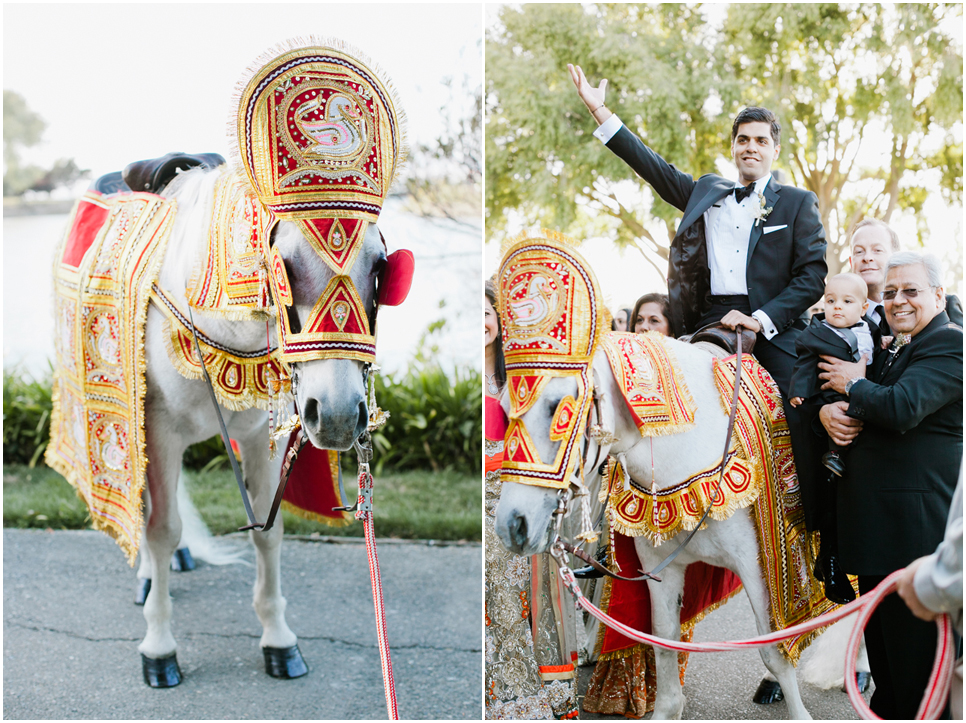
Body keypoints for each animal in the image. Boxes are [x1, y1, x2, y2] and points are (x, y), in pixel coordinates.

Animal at [130, 167, 382, 688]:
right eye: (284, 267)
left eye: (380, 268)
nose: (339, 415)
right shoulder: (158, 429)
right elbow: (161, 529)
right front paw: (159, 646)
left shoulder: (257, 438)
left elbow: (269, 530)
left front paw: (278, 640)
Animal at [496, 338, 820, 720]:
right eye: (504, 412)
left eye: (556, 408)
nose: (512, 524)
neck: (689, 451)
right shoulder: (658, 567)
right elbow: (663, 638)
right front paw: (667, 708)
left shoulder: (756, 566)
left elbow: (772, 648)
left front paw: (797, 711)